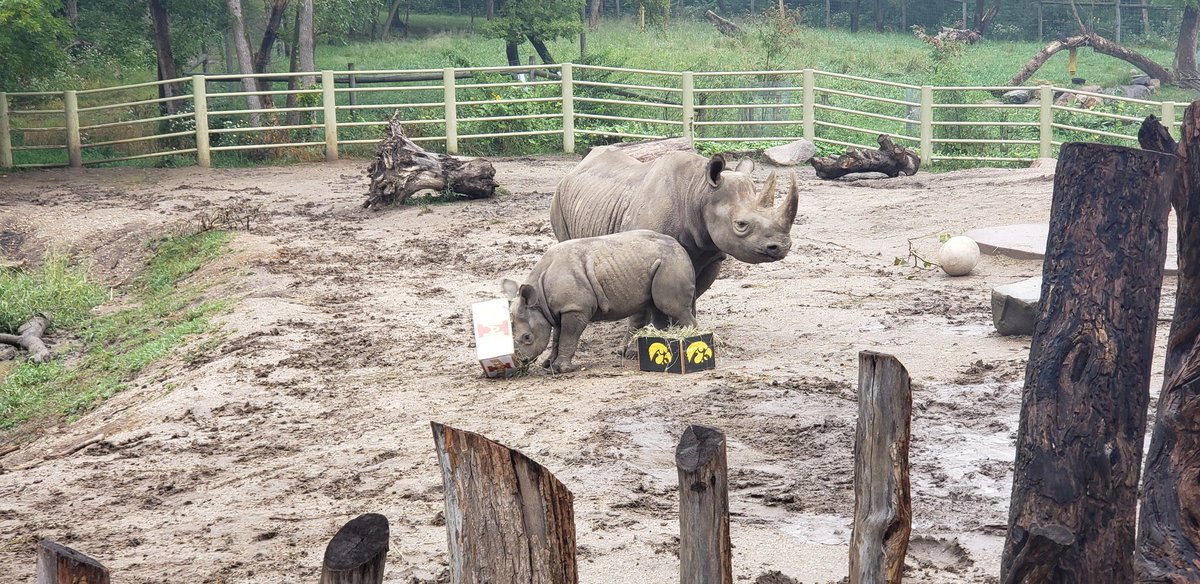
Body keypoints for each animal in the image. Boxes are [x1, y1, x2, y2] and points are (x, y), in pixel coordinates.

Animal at [502, 230, 698, 373]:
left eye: (527, 337)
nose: (519, 362)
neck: (538, 301)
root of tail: (682, 249)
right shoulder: (558, 309)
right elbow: (557, 336)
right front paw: (548, 364)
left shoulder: (575, 308)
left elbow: (568, 335)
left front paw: (560, 369)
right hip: (661, 264)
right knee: (658, 309)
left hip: (671, 263)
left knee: (673, 308)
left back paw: (688, 346)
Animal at [550, 148, 799, 311]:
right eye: (741, 225)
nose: (782, 247)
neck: (699, 193)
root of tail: (578, 166)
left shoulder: (711, 253)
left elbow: (692, 294)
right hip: (558, 195)